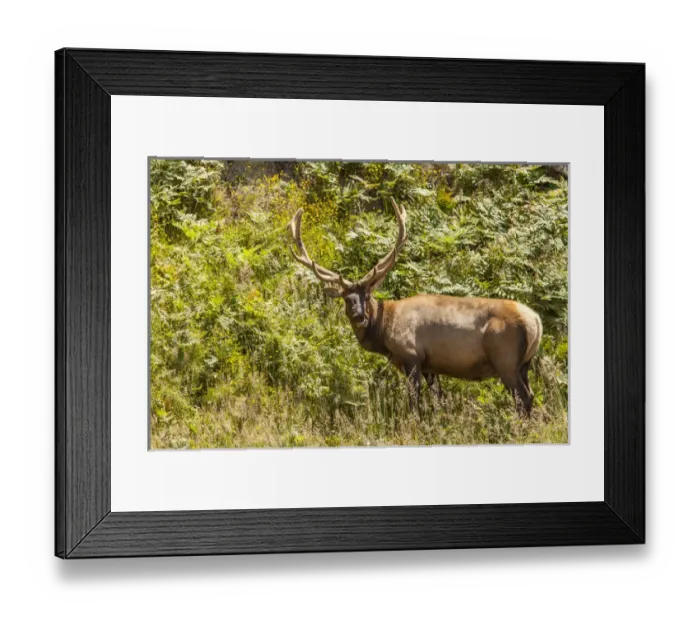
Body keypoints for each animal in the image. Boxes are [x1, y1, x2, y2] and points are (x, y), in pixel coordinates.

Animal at [289, 199, 543, 416]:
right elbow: (438, 400)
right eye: (346, 298)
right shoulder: (431, 365)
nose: (359, 316)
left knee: (523, 397)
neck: (384, 332)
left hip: (506, 358)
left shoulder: (412, 355)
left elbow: (413, 401)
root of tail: (536, 321)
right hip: (524, 363)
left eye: (367, 295)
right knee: (530, 395)